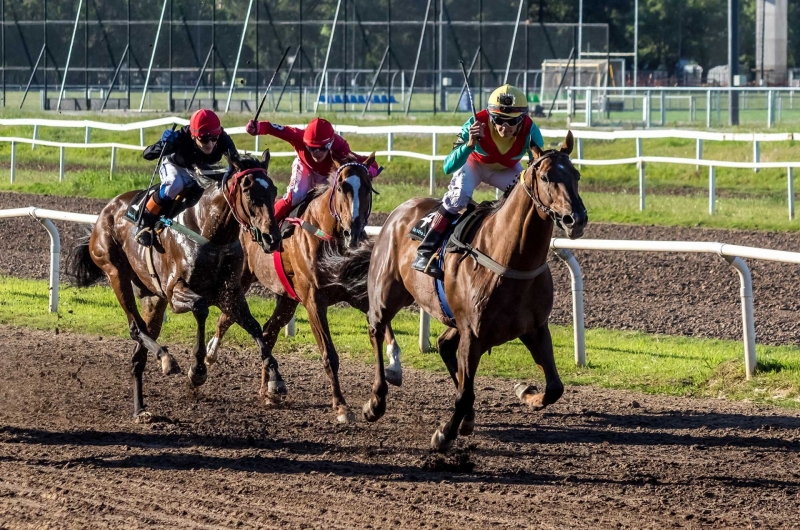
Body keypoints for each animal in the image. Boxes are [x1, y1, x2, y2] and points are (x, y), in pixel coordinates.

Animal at [67, 150, 284, 420]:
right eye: (248, 191)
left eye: (273, 190)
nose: (271, 238)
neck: (210, 231)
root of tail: (105, 211)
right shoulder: (175, 292)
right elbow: (201, 308)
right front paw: (197, 370)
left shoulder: (230, 292)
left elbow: (253, 326)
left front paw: (275, 379)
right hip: (115, 272)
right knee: (135, 328)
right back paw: (166, 359)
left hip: (152, 298)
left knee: (139, 352)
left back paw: (140, 409)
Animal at [328, 131, 584, 450]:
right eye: (547, 176)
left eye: (576, 174)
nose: (577, 218)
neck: (510, 259)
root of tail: (401, 209)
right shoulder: (473, 334)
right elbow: (464, 394)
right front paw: (443, 433)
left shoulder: (534, 328)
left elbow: (554, 387)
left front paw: (526, 392)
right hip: (387, 293)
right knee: (376, 328)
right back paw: (376, 401)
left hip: (454, 318)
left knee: (444, 345)